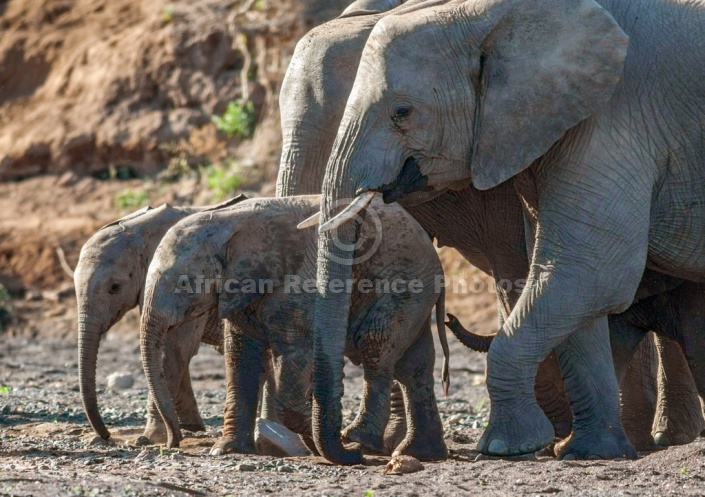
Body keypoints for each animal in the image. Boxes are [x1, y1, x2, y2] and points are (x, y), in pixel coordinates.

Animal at [74, 196, 245, 440]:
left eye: (114, 288)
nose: (107, 436)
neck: (139, 230)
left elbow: (172, 351)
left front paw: (149, 439)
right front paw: (191, 428)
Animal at [140, 195, 448, 462]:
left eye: (183, 283)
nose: (172, 443)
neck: (225, 221)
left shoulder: (298, 282)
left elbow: (293, 353)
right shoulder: (240, 289)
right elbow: (240, 357)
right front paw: (227, 450)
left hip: (405, 283)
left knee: (376, 347)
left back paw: (360, 440)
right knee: (413, 367)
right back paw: (421, 453)